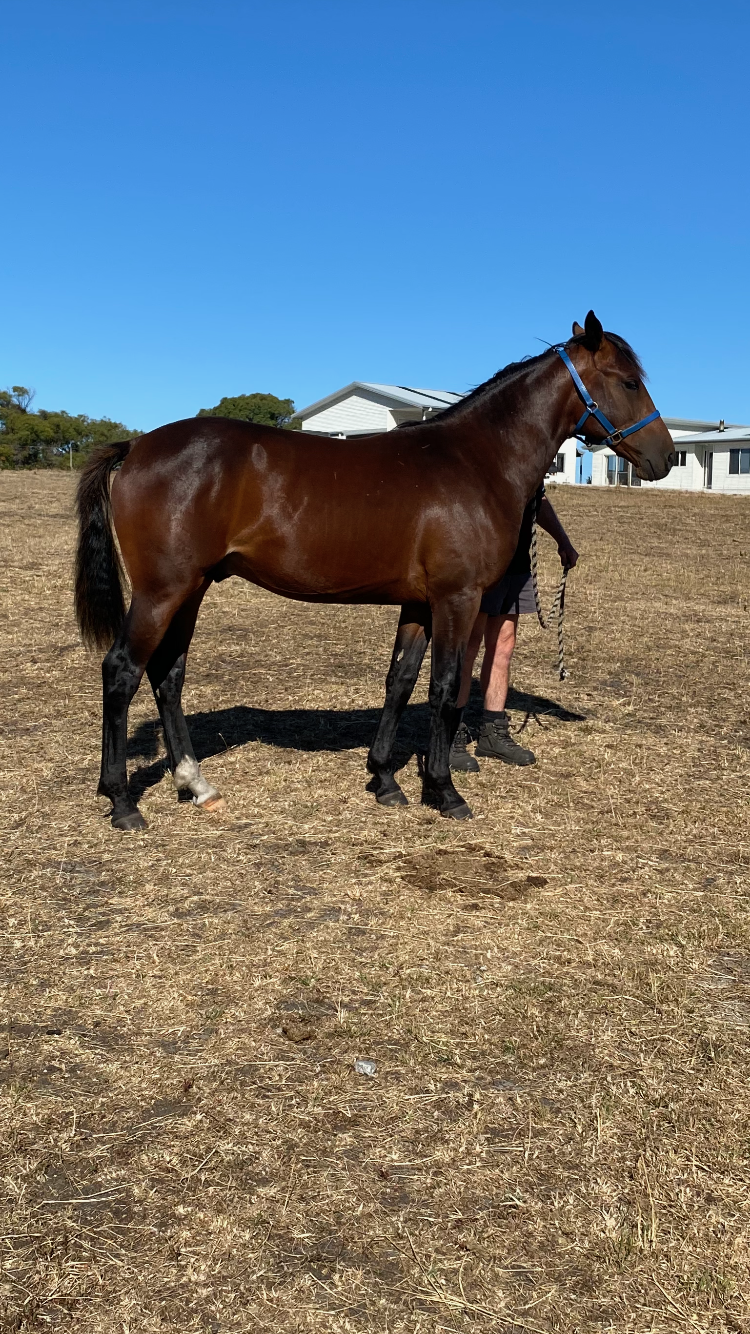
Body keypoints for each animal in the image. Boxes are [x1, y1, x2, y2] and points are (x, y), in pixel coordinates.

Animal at [74, 311, 674, 831]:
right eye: (627, 382)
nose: (665, 457)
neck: (475, 460)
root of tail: (137, 445)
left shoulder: (418, 603)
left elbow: (399, 682)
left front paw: (385, 780)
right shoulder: (456, 598)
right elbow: (443, 686)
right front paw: (443, 790)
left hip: (191, 588)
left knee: (168, 674)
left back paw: (194, 783)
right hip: (162, 591)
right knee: (123, 671)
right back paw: (122, 801)